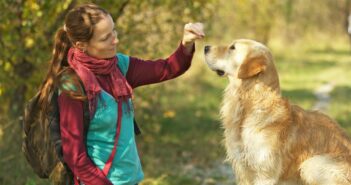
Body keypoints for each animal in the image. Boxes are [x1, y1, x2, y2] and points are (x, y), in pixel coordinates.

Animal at [204, 39, 351, 185]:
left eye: (232, 48)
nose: (205, 47)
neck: (249, 104)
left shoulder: (265, 173)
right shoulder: (243, 169)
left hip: (312, 163)